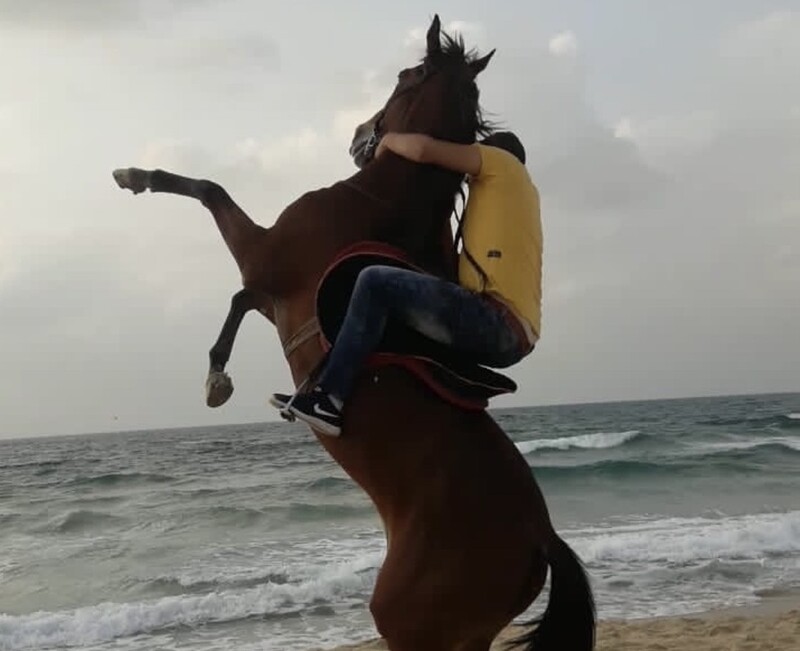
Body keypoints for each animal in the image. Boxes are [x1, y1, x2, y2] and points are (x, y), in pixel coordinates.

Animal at [115, 15, 596, 651]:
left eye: (403, 75)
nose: (360, 132)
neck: (378, 199)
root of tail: (541, 537)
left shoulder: (262, 261)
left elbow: (212, 194)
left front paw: (136, 177)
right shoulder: (268, 296)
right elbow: (237, 291)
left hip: (410, 625)